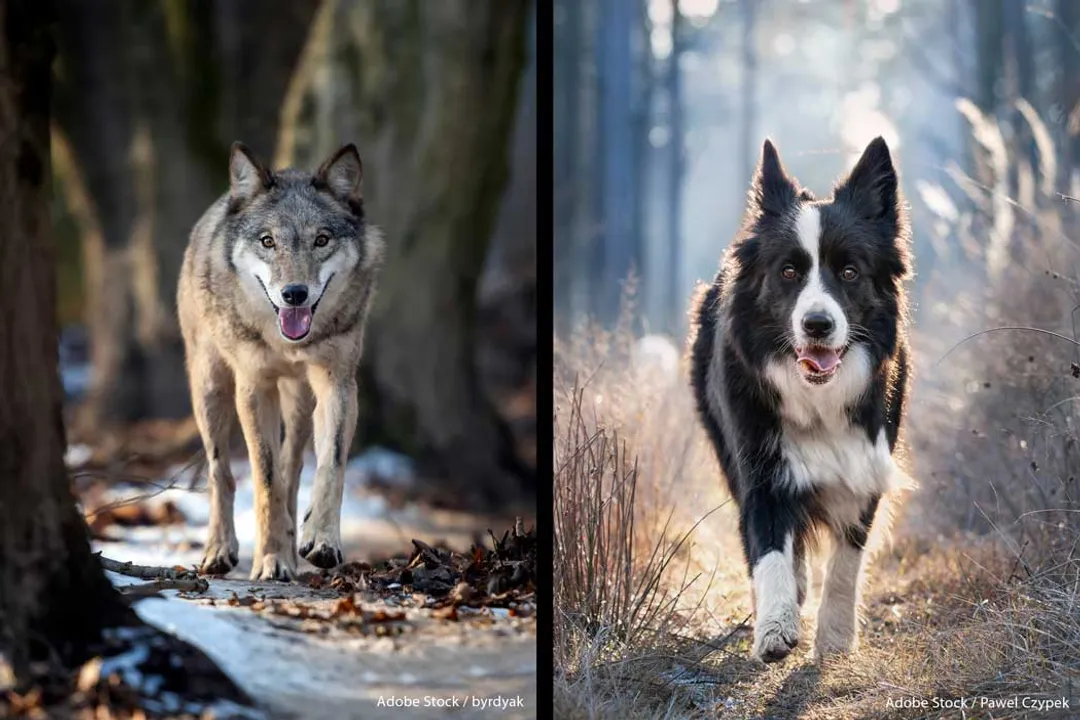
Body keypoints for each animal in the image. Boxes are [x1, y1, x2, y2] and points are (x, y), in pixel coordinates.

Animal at [177, 142, 383, 581]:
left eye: (321, 239)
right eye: (267, 241)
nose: (294, 294)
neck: (288, 342)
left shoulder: (338, 383)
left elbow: (331, 465)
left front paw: (320, 541)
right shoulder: (254, 387)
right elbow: (264, 479)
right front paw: (270, 559)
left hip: (301, 402)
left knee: (294, 468)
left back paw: (294, 539)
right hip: (210, 389)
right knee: (221, 472)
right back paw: (219, 551)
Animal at [689, 137, 911, 662]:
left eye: (850, 272)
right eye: (788, 272)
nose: (817, 325)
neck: (818, 396)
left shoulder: (865, 466)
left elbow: (847, 563)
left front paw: (835, 637)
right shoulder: (760, 467)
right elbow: (770, 548)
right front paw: (775, 626)